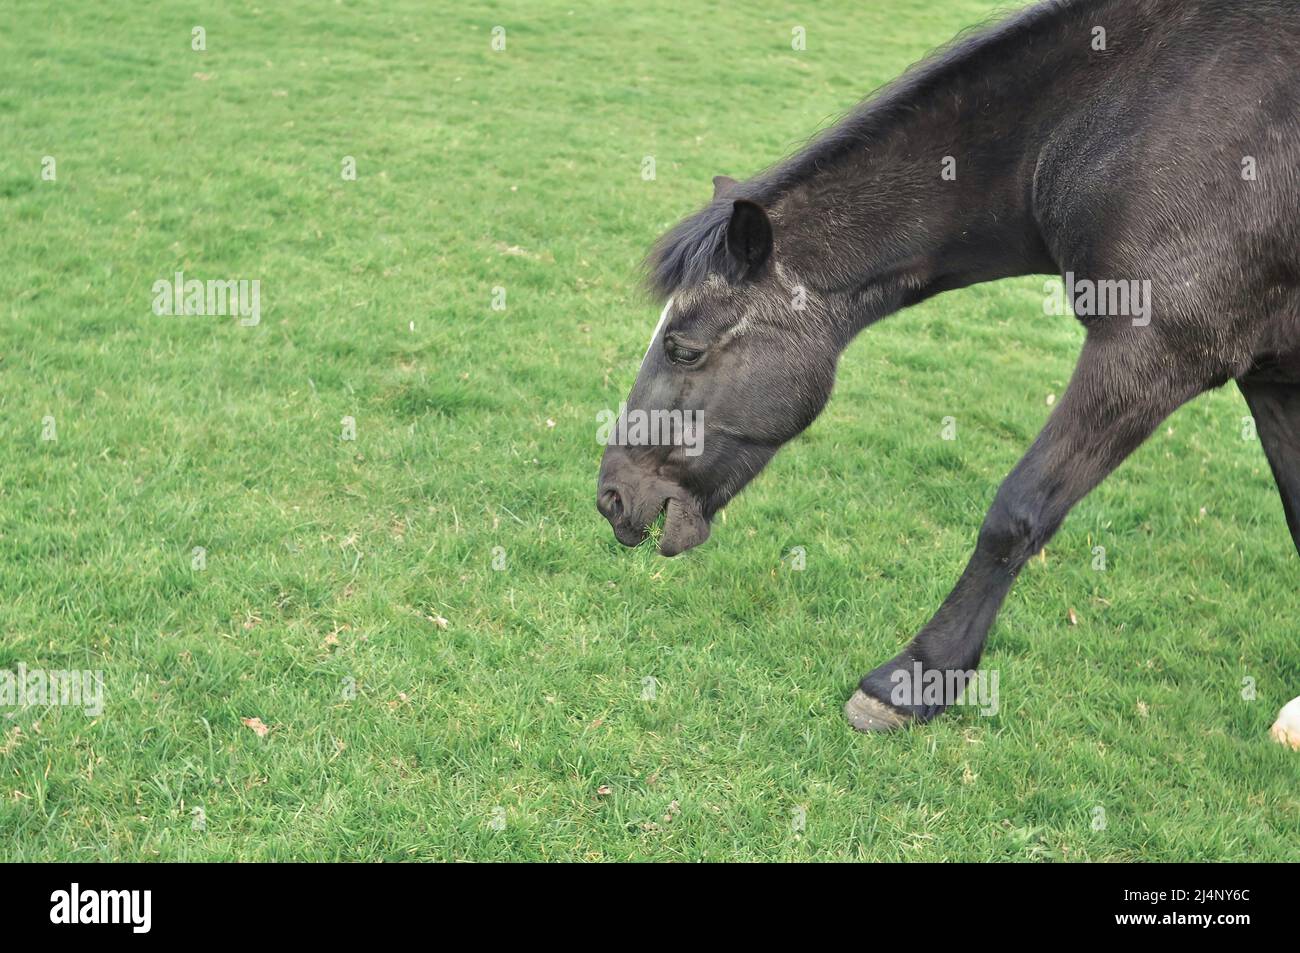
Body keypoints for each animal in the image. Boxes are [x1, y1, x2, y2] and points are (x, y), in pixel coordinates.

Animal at [595, 0, 1300, 738]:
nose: (611, 496)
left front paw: (912, 680)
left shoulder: (1152, 350)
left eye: (684, 348)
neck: (1142, 107)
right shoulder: (1272, 376)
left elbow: (1017, 512)